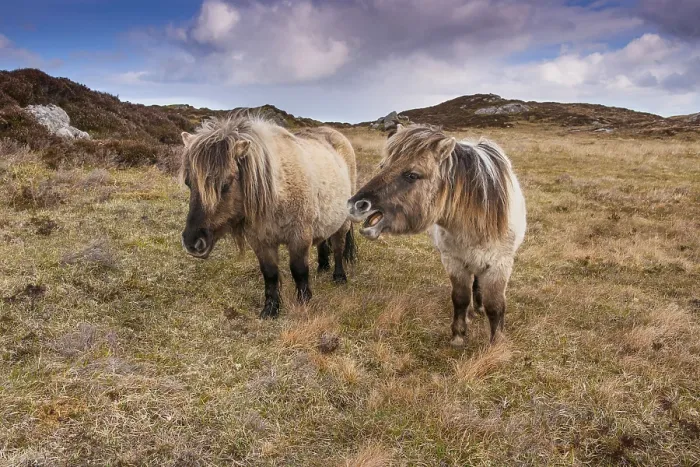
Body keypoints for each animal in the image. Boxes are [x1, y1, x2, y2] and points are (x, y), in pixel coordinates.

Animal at [180, 113, 357, 318]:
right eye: (188, 183)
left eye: (226, 184)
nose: (192, 242)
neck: (276, 193)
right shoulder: (260, 241)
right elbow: (270, 273)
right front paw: (271, 308)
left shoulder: (300, 237)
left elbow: (299, 270)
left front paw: (304, 302)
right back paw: (322, 266)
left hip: (343, 220)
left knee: (338, 246)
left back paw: (339, 276)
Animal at [348, 124, 526, 347]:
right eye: (382, 166)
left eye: (412, 175)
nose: (355, 205)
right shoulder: (454, 262)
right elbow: (460, 298)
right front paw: (458, 335)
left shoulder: (499, 265)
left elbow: (495, 306)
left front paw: (496, 343)